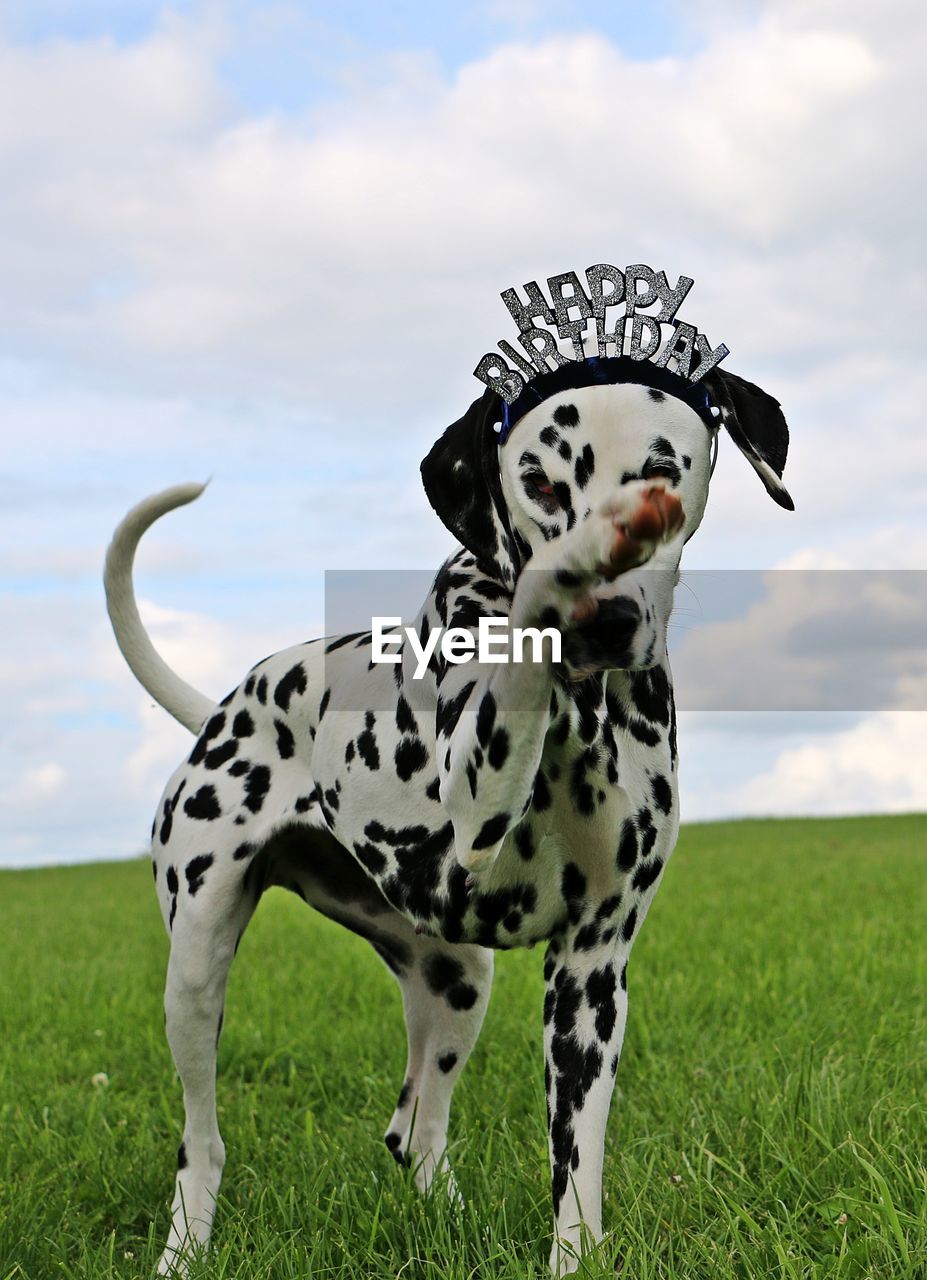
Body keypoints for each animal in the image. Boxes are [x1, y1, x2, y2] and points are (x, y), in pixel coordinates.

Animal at [106, 358, 788, 1269]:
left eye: (661, 467)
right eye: (540, 480)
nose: (603, 620)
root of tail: (223, 707)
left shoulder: (591, 969)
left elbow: (576, 1166)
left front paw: (573, 1258)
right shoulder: (478, 802)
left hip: (459, 978)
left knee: (414, 1131)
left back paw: (449, 1221)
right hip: (195, 966)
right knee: (202, 1141)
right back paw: (185, 1250)